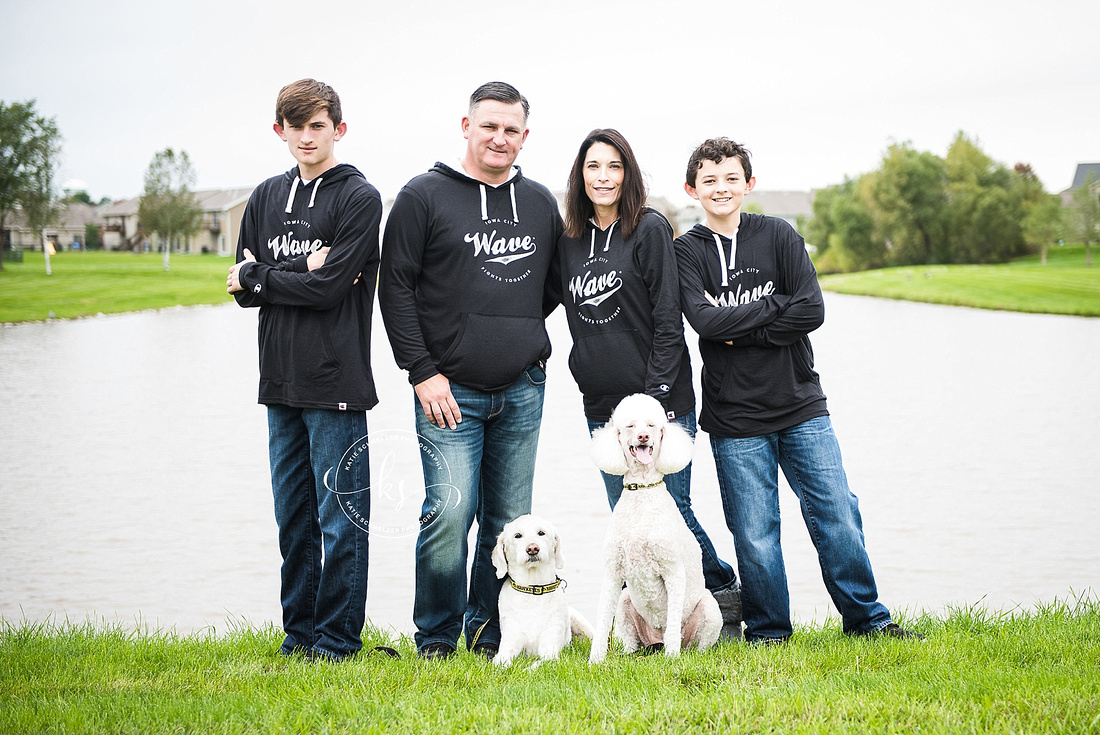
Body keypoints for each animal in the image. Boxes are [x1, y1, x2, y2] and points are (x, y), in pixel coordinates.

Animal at [490, 514, 594, 668]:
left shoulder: (550, 650)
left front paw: (527, 669)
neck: (533, 591)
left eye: (541, 533)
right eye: (517, 535)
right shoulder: (508, 646)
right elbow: (501, 664)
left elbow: (537, 665)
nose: (532, 548)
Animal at [589, 393, 726, 664]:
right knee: (632, 642)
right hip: (625, 602)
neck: (642, 492)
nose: (643, 437)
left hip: (709, 610)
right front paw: (595, 660)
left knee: (696, 643)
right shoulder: (613, 572)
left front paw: (672, 659)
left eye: (652, 425)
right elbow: (601, 620)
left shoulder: (673, 571)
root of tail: (656, 640)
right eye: (630, 426)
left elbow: (672, 622)